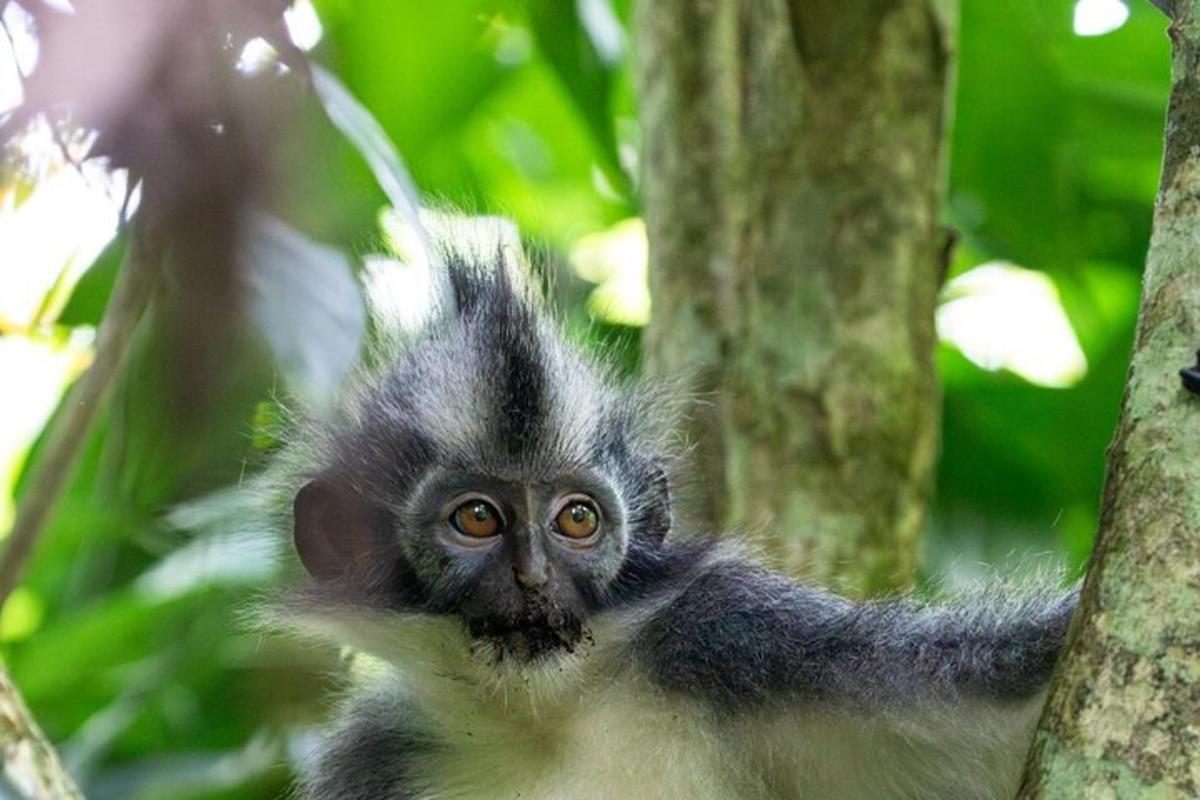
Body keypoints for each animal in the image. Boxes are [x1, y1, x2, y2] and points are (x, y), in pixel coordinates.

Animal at [272, 241, 1080, 800]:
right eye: (476, 518)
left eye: (576, 519)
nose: (533, 579)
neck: (541, 715)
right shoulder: (377, 758)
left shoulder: (736, 640)